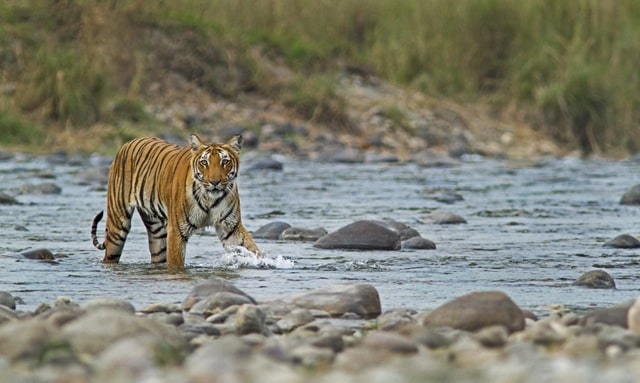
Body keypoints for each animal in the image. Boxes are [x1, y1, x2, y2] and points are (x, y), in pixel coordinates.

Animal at [89, 134, 262, 268]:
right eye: (204, 162)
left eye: (224, 162)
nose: (214, 182)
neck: (210, 198)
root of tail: (128, 142)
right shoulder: (177, 230)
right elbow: (176, 262)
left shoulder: (231, 226)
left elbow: (251, 248)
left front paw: (264, 262)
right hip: (117, 224)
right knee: (110, 254)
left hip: (157, 231)